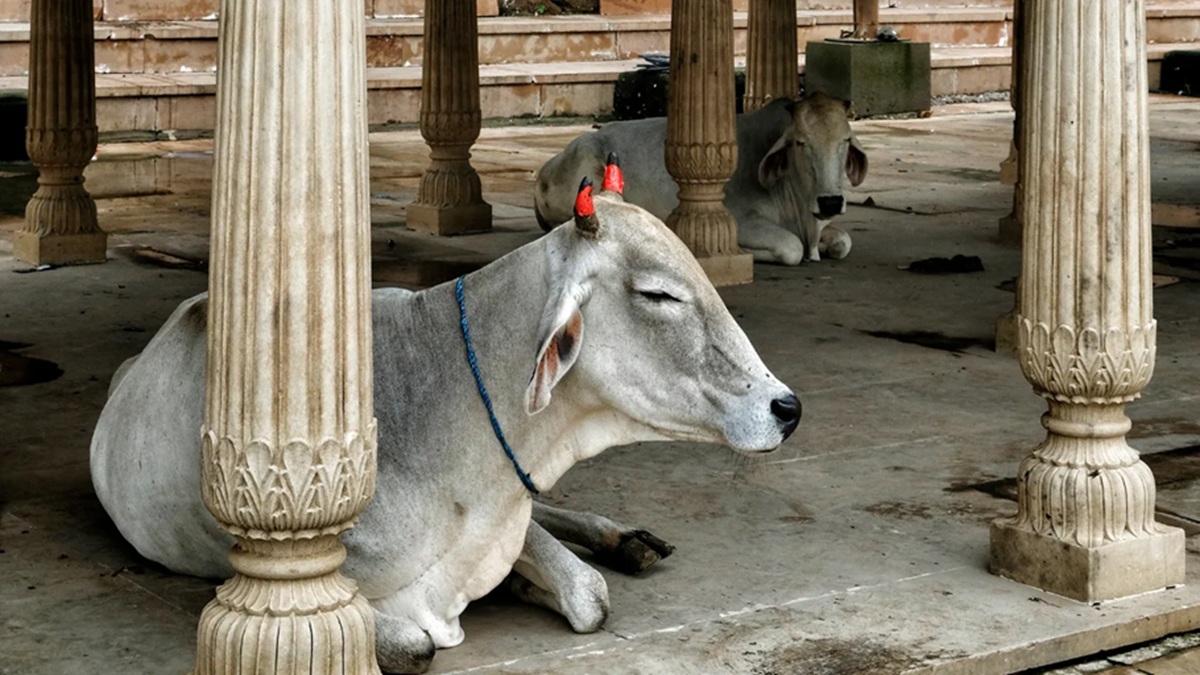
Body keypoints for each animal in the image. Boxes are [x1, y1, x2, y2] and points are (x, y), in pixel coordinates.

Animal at [90, 166, 801, 674]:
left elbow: (588, 595)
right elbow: (415, 647)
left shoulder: (509, 507)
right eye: (659, 294)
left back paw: (623, 537)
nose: (786, 408)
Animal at [534, 91, 868, 265]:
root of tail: (544, 171)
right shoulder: (742, 219)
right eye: (801, 142)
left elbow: (844, 241)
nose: (830, 202)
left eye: (846, 140)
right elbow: (791, 248)